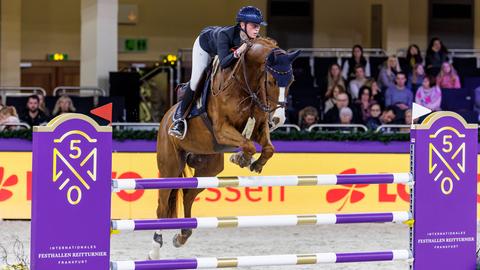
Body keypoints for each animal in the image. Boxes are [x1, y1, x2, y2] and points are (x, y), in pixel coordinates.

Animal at [150, 38, 300, 260]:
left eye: (291, 82)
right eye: (271, 81)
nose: (278, 120)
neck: (245, 85)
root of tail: (166, 118)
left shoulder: (258, 127)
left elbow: (267, 148)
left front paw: (254, 164)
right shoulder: (222, 130)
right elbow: (248, 145)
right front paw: (242, 159)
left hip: (208, 169)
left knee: (188, 194)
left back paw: (182, 235)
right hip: (170, 166)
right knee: (162, 206)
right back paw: (155, 249)